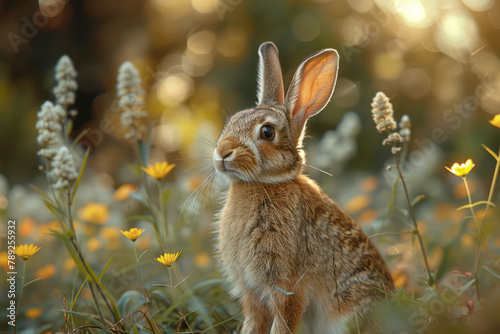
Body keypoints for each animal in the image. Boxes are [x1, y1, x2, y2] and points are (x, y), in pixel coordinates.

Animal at [212, 42, 394, 334]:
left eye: (267, 132)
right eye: (231, 121)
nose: (222, 152)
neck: (264, 184)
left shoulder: (286, 286)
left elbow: (283, 323)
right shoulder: (252, 292)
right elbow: (252, 323)